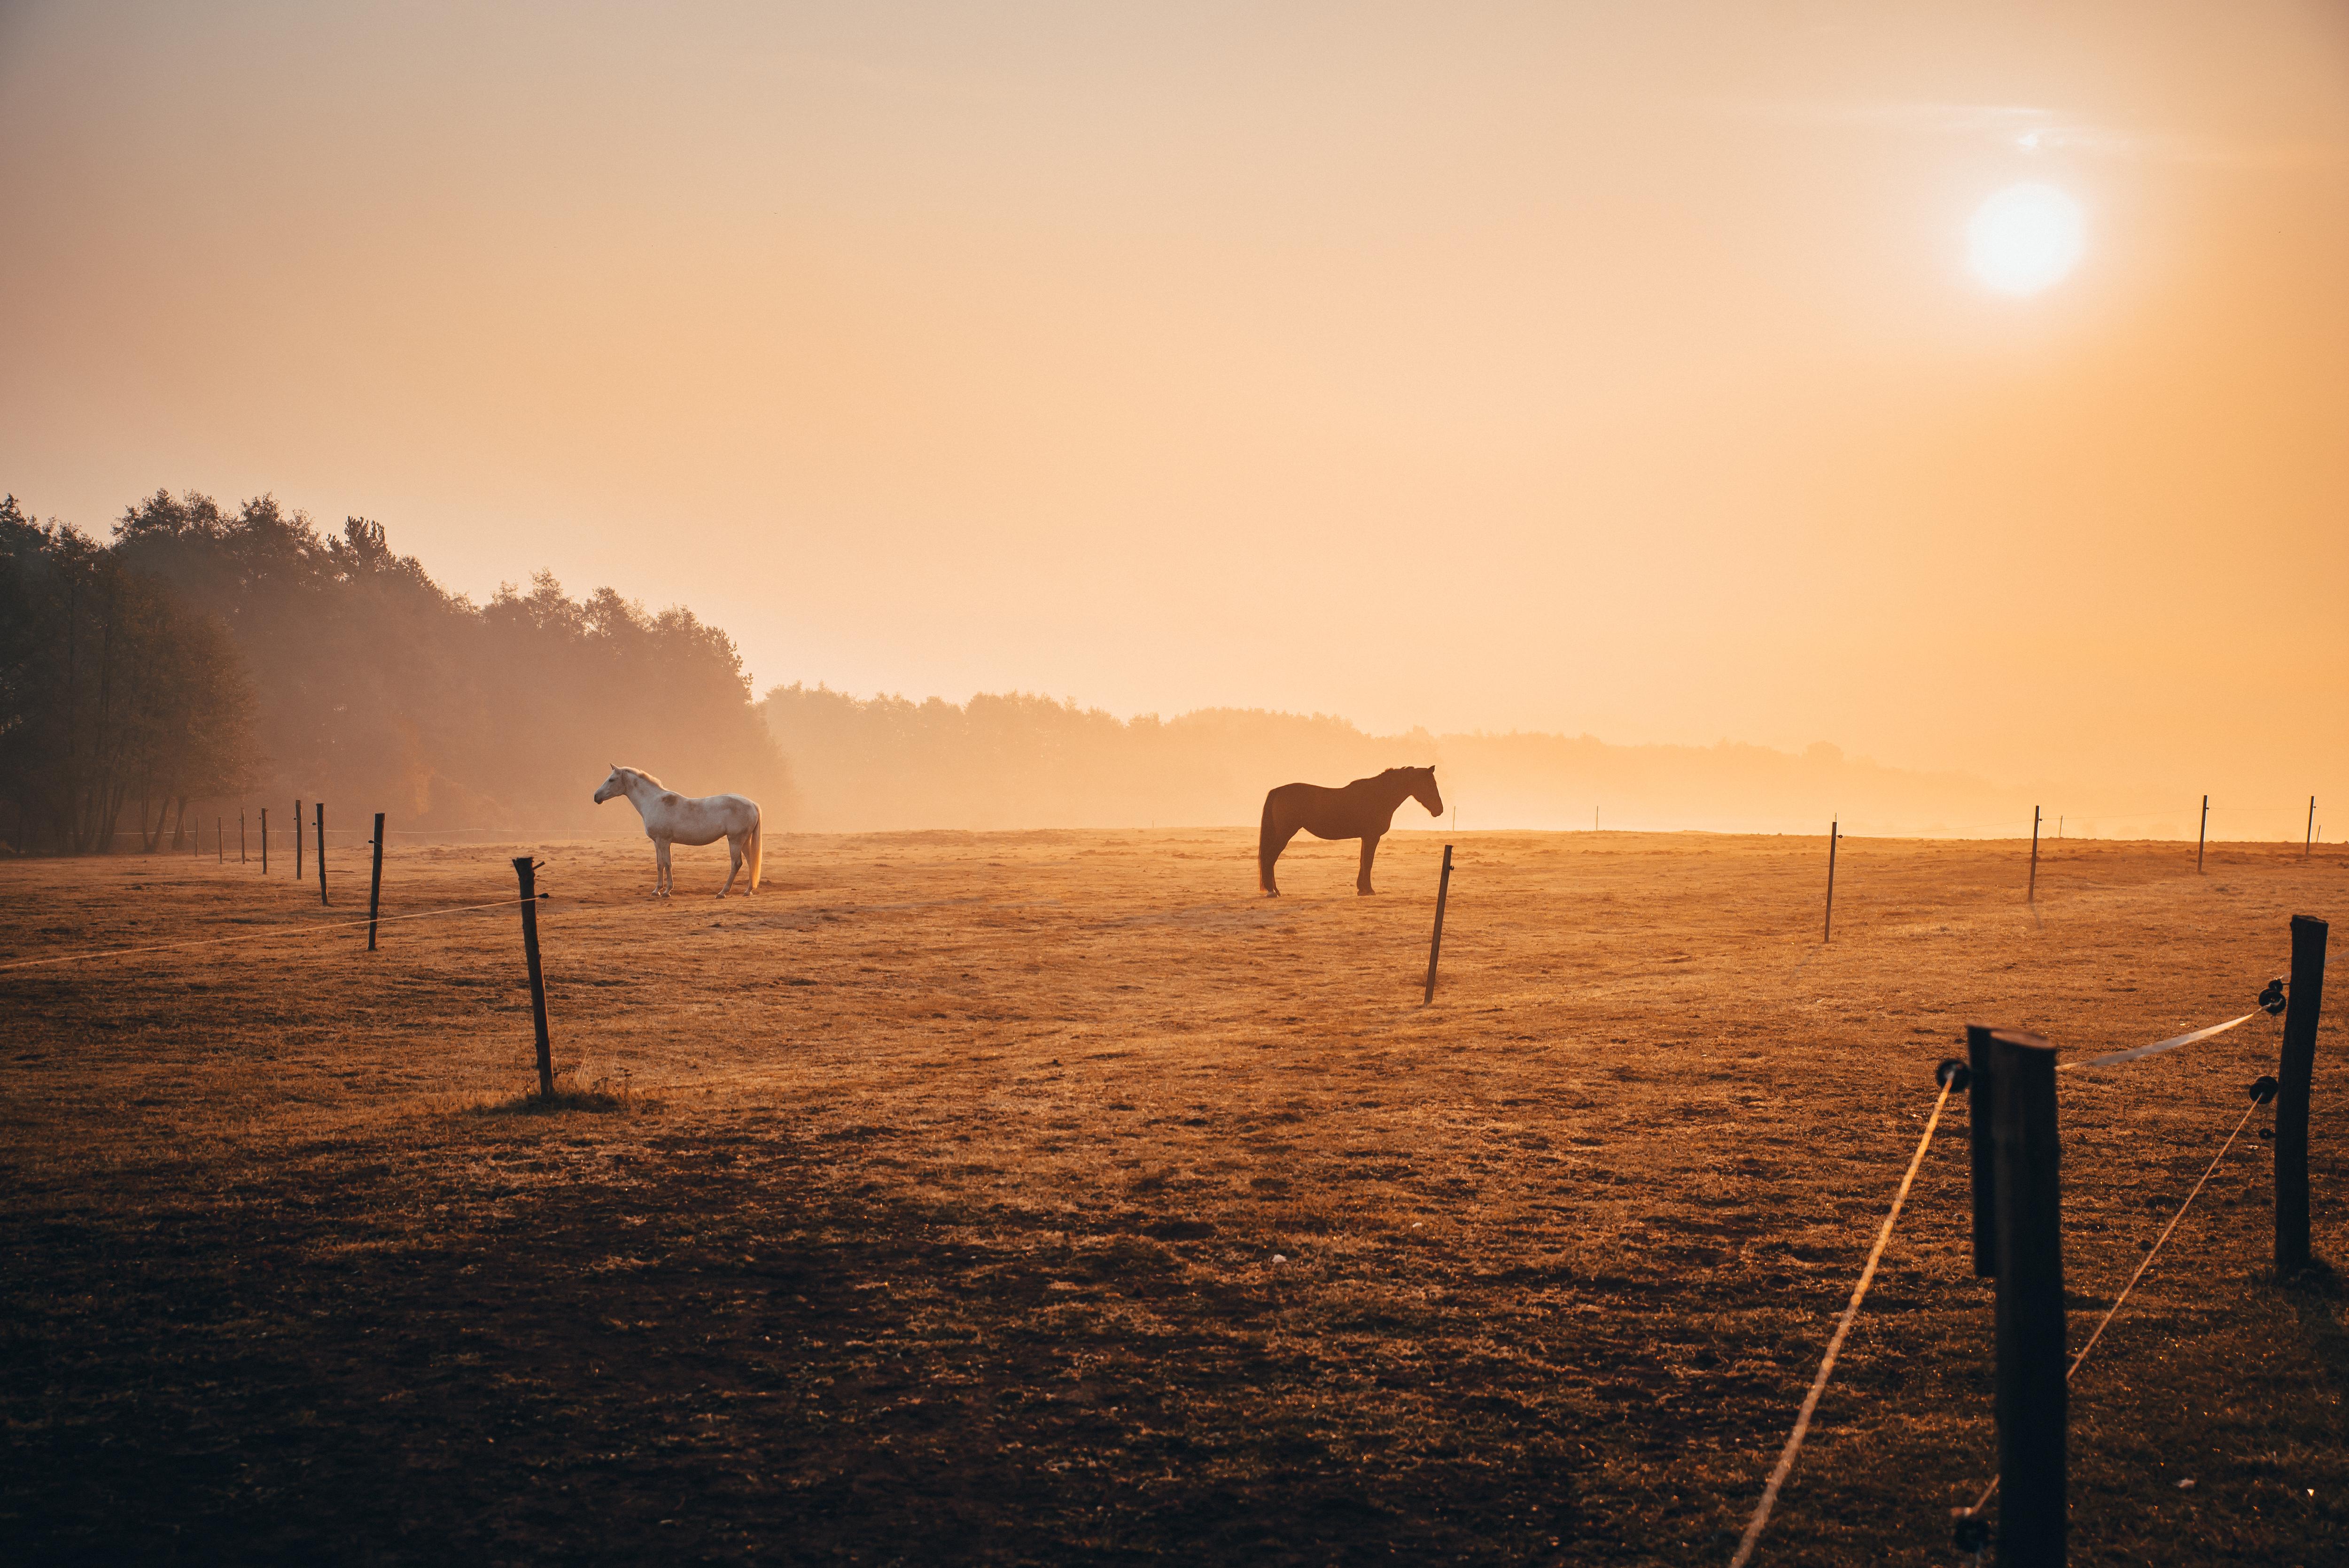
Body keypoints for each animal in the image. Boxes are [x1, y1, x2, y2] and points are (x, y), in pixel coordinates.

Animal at [592, 765, 763, 897]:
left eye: (612, 780)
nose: (596, 797)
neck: (654, 802)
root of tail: (753, 804)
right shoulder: (657, 843)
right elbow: (660, 864)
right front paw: (656, 890)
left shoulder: (664, 841)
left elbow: (668, 864)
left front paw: (667, 891)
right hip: (744, 841)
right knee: (751, 861)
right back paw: (748, 891)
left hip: (735, 840)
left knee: (737, 863)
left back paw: (723, 892)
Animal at [1258, 766, 1442, 896]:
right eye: (1430, 785)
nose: (1439, 810)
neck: (1379, 796)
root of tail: (1278, 791)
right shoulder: (1372, 837)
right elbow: (1368, 862)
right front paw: (1368, 890)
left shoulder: (1366, 838)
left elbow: (1363, 862)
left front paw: (1362, 889)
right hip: (1285, 834)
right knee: (1270, 858)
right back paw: (1272, 891)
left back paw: (1275, 890)